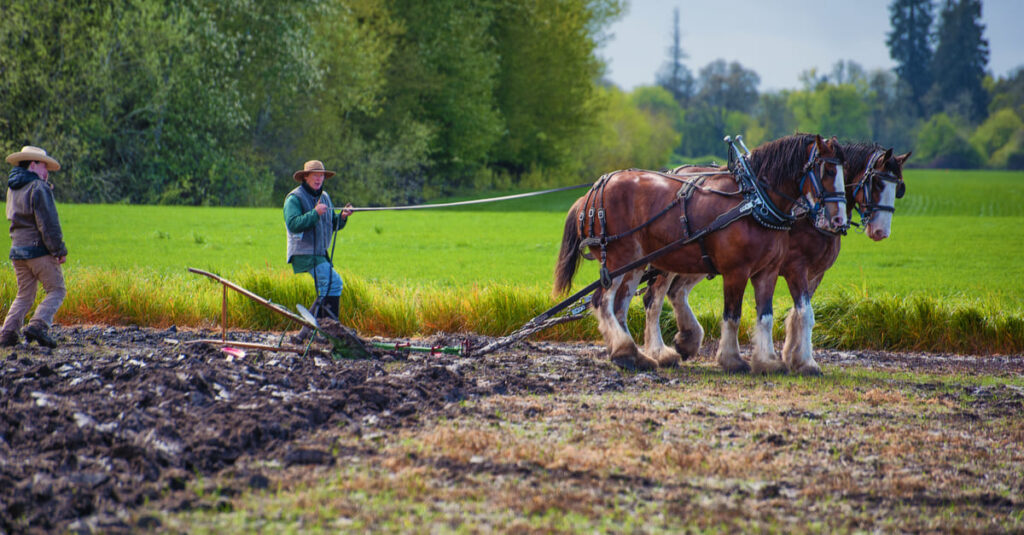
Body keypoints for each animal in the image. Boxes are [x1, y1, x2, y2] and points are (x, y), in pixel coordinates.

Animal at [557, 134, 843, 371]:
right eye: (828, 169)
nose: (837, 218)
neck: (754, 201)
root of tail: (591, 194)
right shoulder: (738, 271)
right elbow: (733, 315)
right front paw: (732, 360)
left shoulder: (768, 271)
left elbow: (766, 315)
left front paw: (768, 361)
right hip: (620, 259)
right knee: (603, 301)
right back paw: (628, 351)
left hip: (638, 264)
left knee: (622, 305)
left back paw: (634, 355)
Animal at [638, 142, 913, 375]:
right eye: (877, 183)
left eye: (899, 187)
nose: (881, 231)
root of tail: (675, 171)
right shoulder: (795, 268)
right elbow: (804, 313)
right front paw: (804, 361)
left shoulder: (814, 274)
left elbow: (798, 313)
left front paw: (793, 357)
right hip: (670, 259)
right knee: (655, 298)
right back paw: (659, 352)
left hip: (697, 259)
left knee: (677, 293)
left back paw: (686, 340)